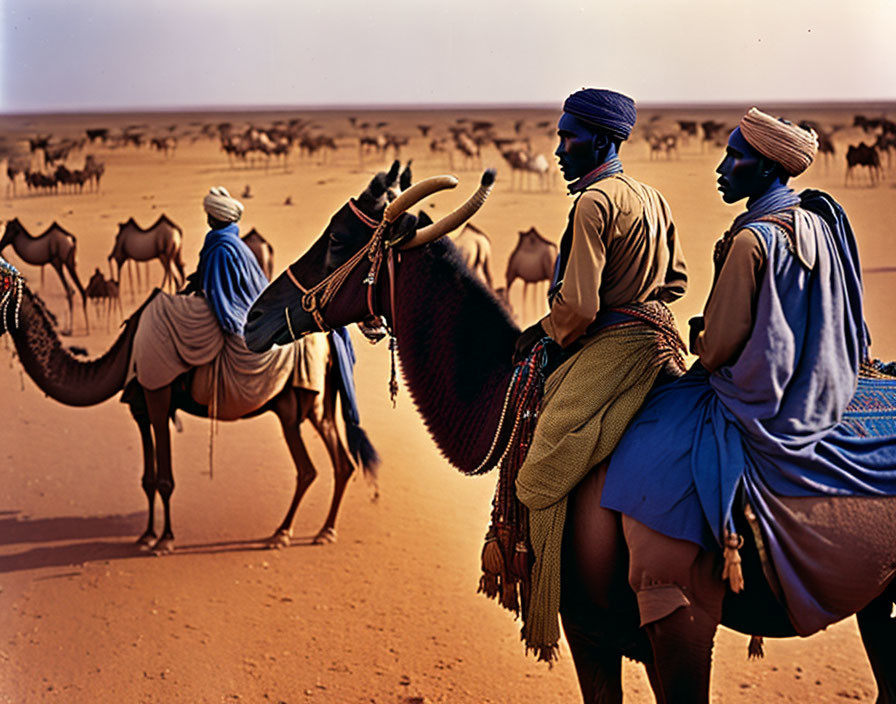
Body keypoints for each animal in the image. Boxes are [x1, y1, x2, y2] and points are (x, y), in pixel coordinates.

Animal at [0, 268, 378, 556]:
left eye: (1, 282)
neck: (127, 349)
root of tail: (330, 337)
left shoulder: (158, 393)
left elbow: (165, 478)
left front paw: (164, 540)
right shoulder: (140, 405)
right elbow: (147, 478)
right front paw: (146, 536)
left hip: (294, 402)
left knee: (308, 468)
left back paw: (281, 533)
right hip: (317, 401)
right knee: (342, 461)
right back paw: (324, 531)